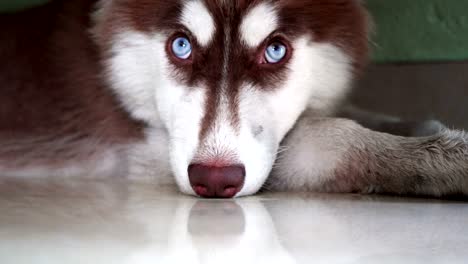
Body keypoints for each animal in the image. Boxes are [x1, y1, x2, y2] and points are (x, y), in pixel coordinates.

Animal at [0, 0, 468, 198]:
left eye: (275, 50)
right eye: (181, 46)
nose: (214, 182)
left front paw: (424, 124)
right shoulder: (147, 153)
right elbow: (338, 137)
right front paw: (450, 160)